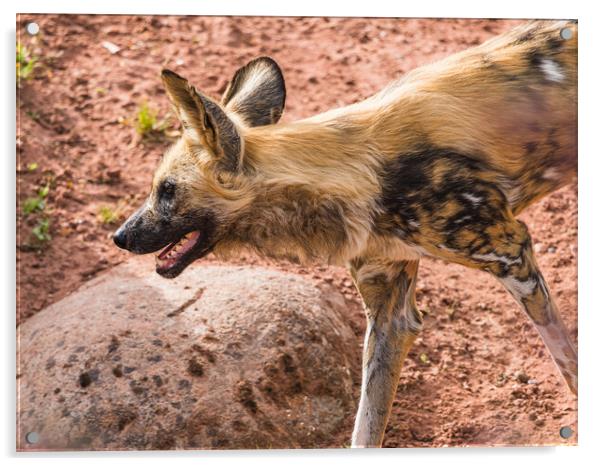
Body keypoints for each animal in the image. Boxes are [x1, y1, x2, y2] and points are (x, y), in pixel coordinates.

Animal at [113, 20, 576, 448]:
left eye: (168, 190)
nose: (119, 236)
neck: (356, 172)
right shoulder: (392, 315)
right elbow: (365, 426)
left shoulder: (512, 255)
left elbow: (571, 368)